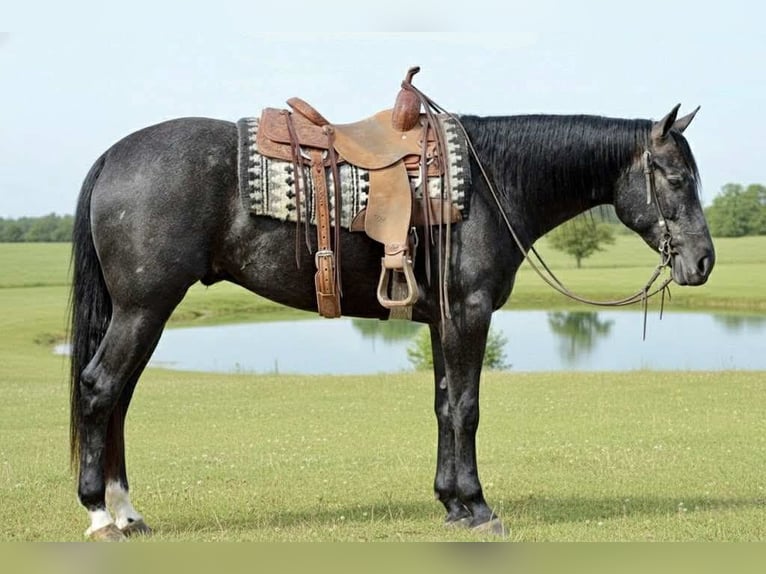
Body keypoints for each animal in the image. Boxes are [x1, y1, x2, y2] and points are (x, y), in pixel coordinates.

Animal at [68, 102, 714, 540]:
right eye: (678, 179)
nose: (704, 260)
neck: (492, 183)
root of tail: (112, 155)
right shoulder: (469, 314)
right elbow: (467, 407)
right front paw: (478, 507)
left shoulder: (442, 321)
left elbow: (444, 405)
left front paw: (451, 504)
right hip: (144, 309)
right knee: (101, 389)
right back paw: (100, 514)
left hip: (144, 312)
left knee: (118, 398)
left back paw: (127, 512)